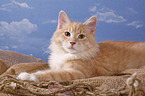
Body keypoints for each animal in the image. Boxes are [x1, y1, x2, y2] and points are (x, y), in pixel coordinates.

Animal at [17, 10, 145, 82]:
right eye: (67, 34)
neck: (66, 55)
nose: (72, 42)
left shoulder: (76, 72)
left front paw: (27, 76)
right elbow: (48, 70)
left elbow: (50, 74)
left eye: (81, 36)